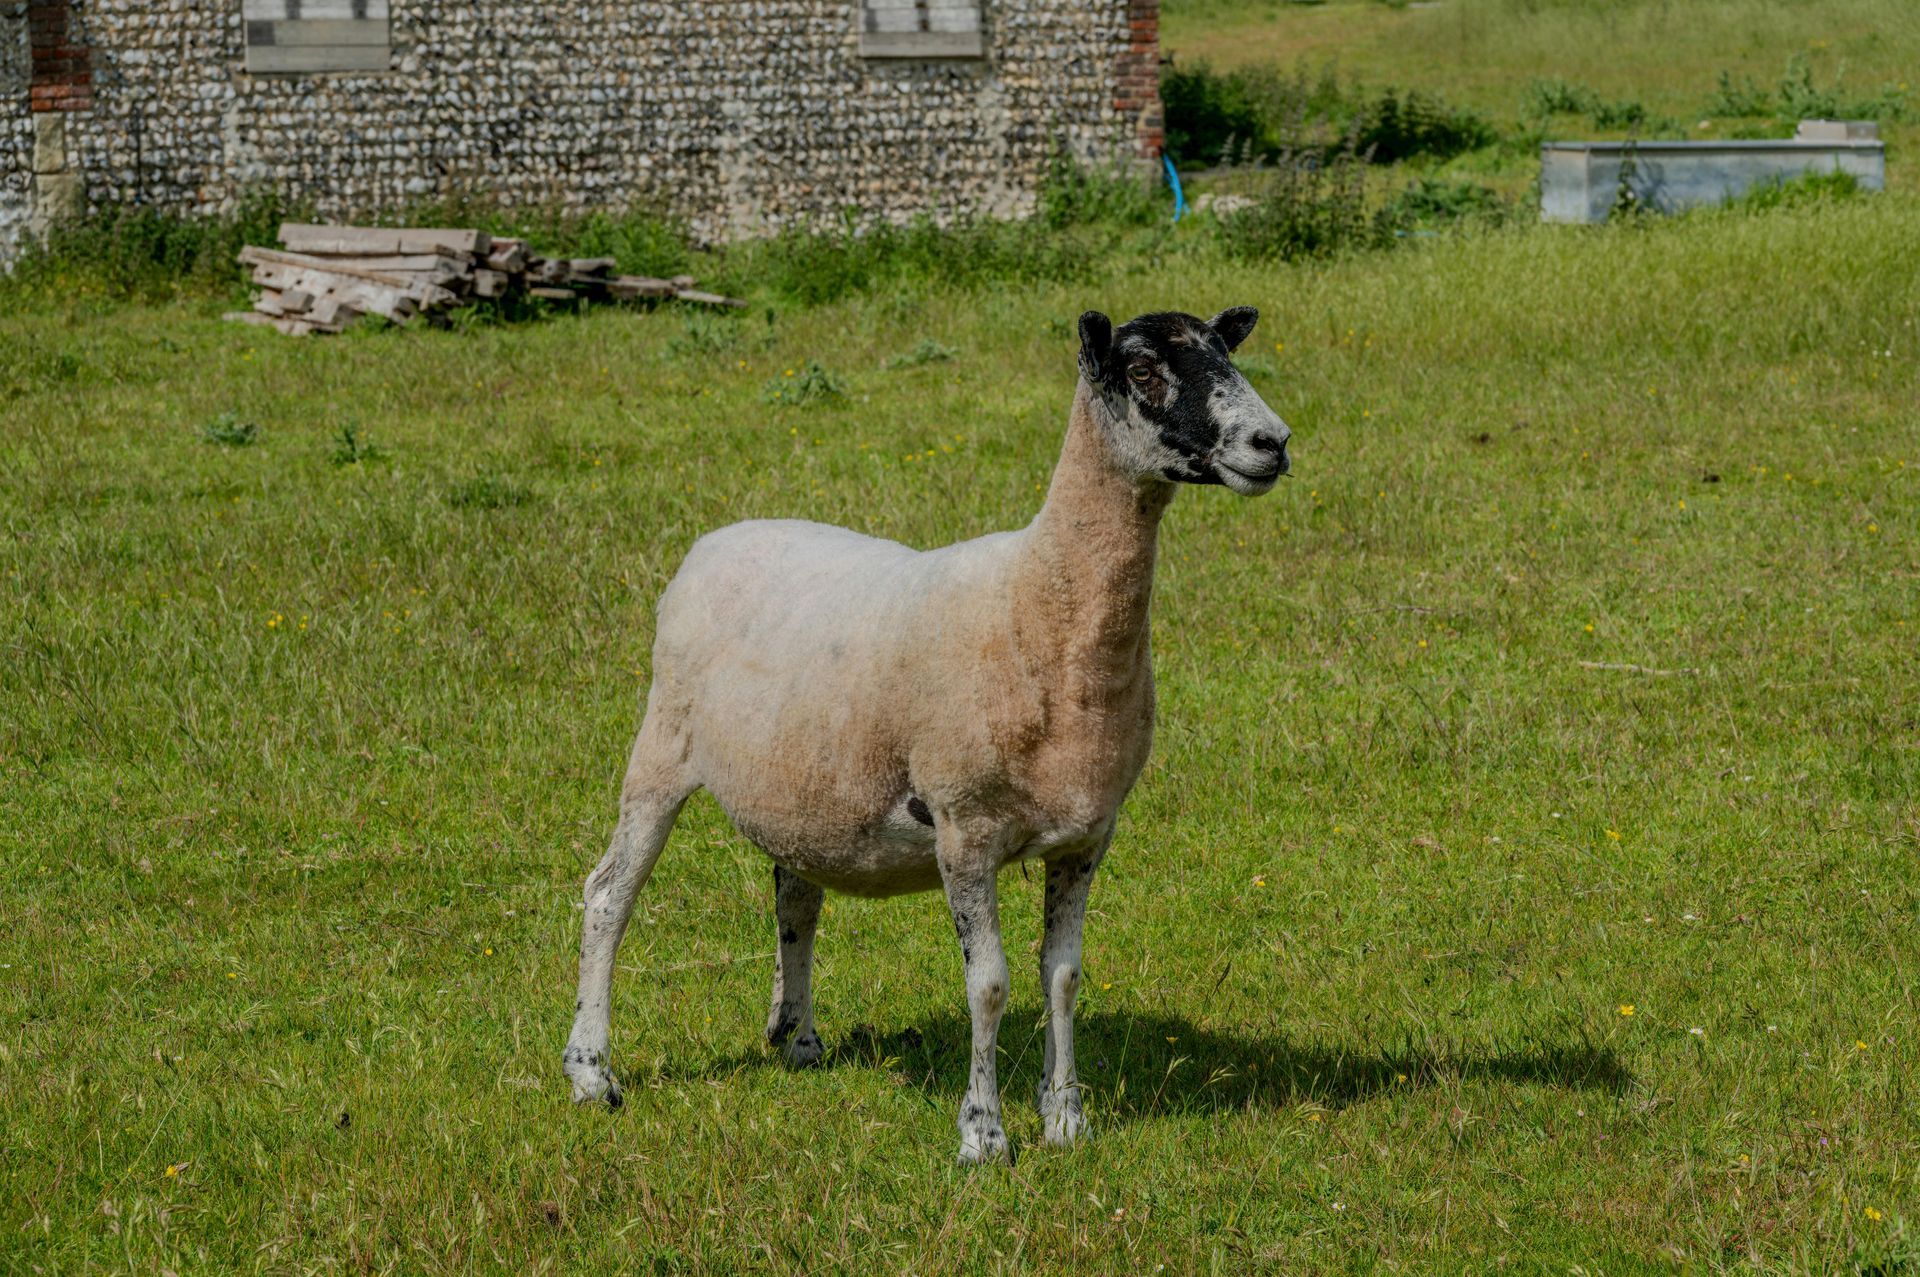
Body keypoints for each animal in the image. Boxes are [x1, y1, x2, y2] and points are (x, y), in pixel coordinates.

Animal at [563, 306, 1291, 1163]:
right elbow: (991, 983)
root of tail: (712, 540)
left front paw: (1066, 1118)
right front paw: (983, 1134)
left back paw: (799, 1039)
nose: (1272, 441)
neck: (1038, 605)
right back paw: (591, 1072)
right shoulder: (963, 827)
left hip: (806, 783)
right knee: (609, 895)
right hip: (660, 745)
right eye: (1143, 368)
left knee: (795, 894)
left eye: (1223, 349)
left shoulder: (1088, 834)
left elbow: (1063, 974)